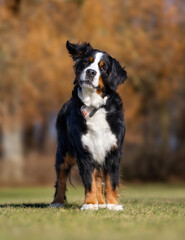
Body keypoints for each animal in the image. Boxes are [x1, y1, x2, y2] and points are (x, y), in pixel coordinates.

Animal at [49, 40, 126, 210]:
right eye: (86, 62)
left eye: (103, 67)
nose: (91, 72)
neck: (93, 106)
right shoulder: (84, 151)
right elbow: (89, 181)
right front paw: (90, 204)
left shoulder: (113, 150)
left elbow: (111, 181)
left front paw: (113, 205)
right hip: (64, 152)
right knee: (61, 178)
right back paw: (57, 202)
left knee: (98, 178)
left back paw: (102, 203)